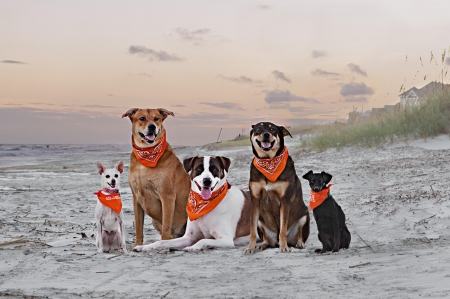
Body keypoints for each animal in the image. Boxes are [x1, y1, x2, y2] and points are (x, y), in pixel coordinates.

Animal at [121, 108, 190, 248]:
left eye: (156, 118)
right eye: (142, 118)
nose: (152, 126)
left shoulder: (167, 196)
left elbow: (166, 226)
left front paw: (163, 243)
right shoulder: (136, 198)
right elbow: (138, 227)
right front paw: (137, 245)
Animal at [243, 122, 310, 253]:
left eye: (273, 129)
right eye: (258, 129)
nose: (266, 134)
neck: (268, 160)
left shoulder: (284, 199)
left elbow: (283, 228)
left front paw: (284, 247)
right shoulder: (255, 199)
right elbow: (252, 229)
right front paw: (250, 247)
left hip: (305, 216)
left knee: (300, 236)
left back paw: (299, 243)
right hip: (261, 221)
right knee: (267, 241)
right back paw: (262, 245)